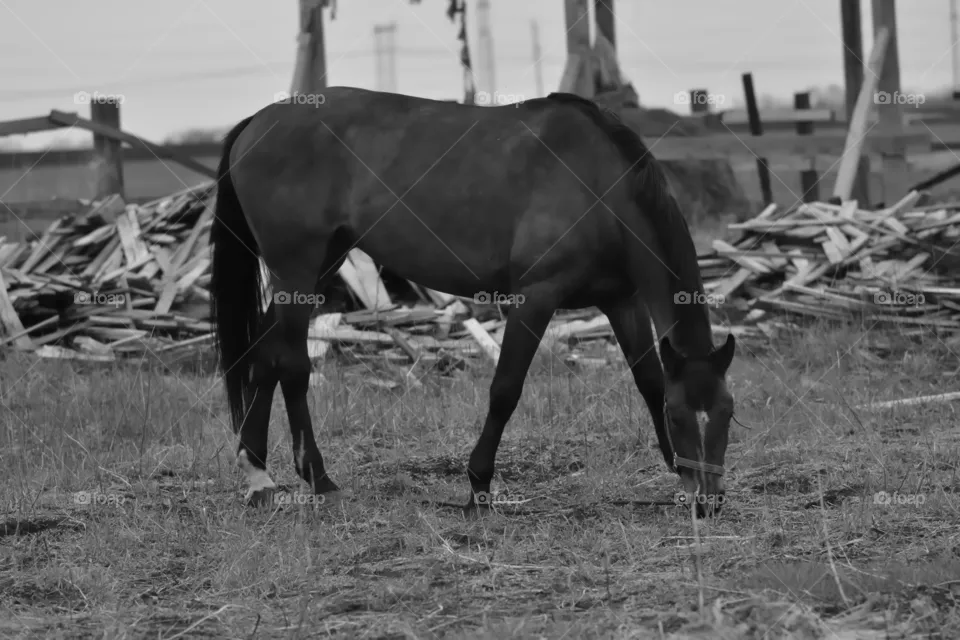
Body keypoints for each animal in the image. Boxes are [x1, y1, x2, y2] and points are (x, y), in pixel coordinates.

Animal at [209, 87, 736, 518]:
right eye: (679, 416)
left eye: (728, 413)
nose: (709, 501)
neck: (598, 185)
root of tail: (257, 121)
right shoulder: (534, 298)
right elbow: (505, 390)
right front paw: (478, 486)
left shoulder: (623, 302)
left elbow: (649, 381)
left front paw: (676, 473)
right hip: (296, 268)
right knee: (292, 366)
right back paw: (317, 479)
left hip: (317, 265)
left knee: (265, 357)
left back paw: (259, 477)